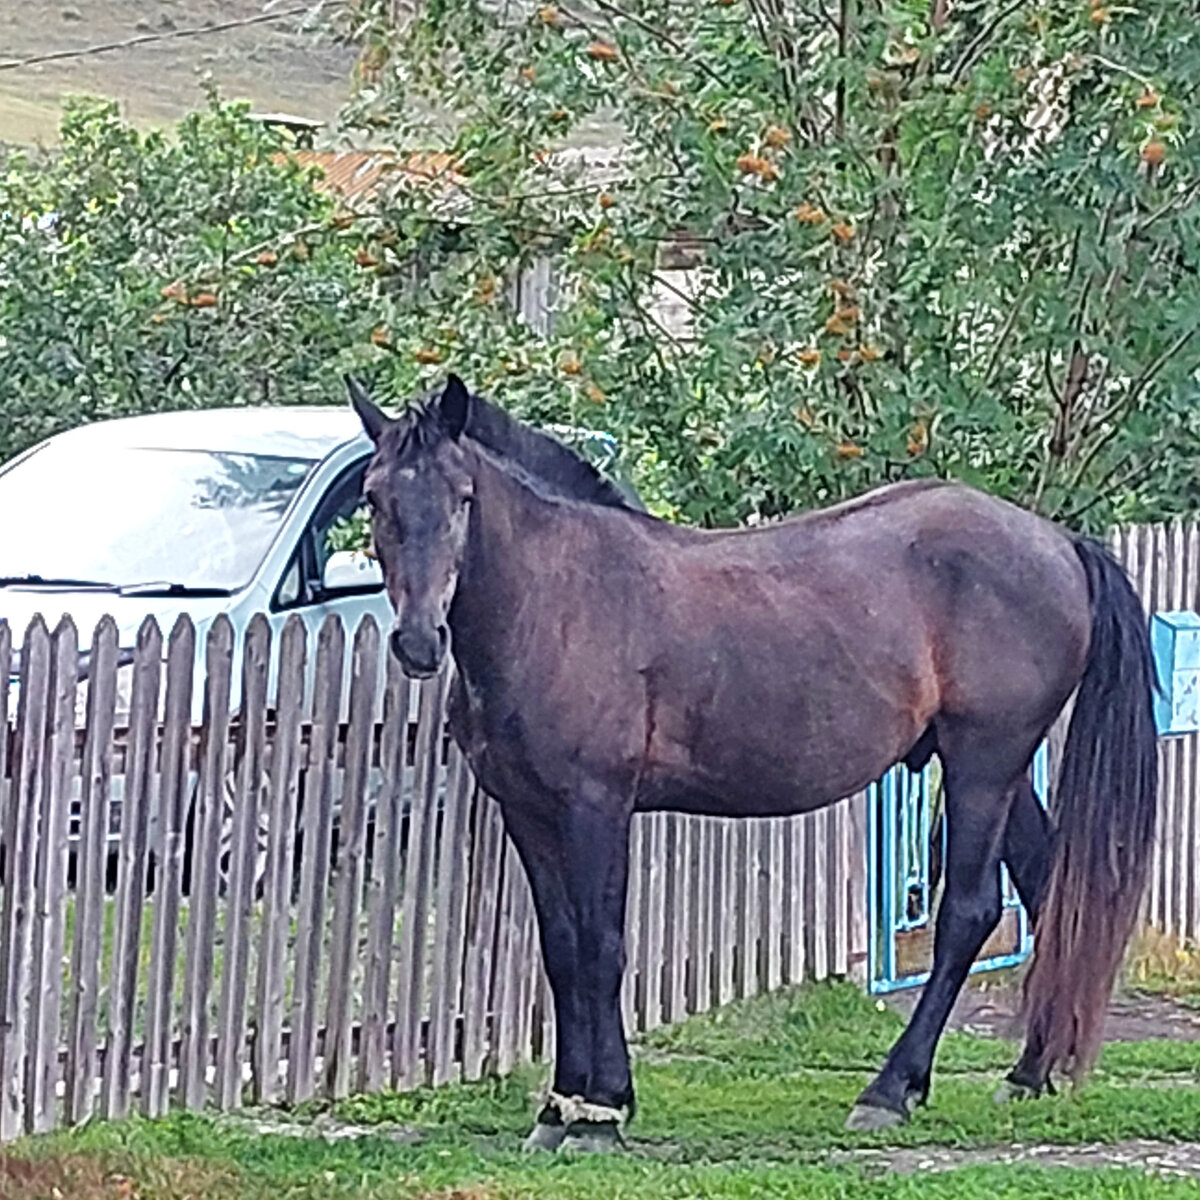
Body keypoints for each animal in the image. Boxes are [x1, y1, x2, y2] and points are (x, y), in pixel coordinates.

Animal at [345, 374, 1152, 1152]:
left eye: (463, 496)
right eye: (375, 497)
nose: (418, 641)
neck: (559, 601)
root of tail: (1059, 541)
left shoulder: (596, 806)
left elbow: (602, 948)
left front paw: (601, 1111)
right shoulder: (529, 811)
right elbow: (564, 952)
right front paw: (560, 1107)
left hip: (983, 764)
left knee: (968, 912)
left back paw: (891, 1092)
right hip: (1002, 773)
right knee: (1047, 889)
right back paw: (1029, 1074)